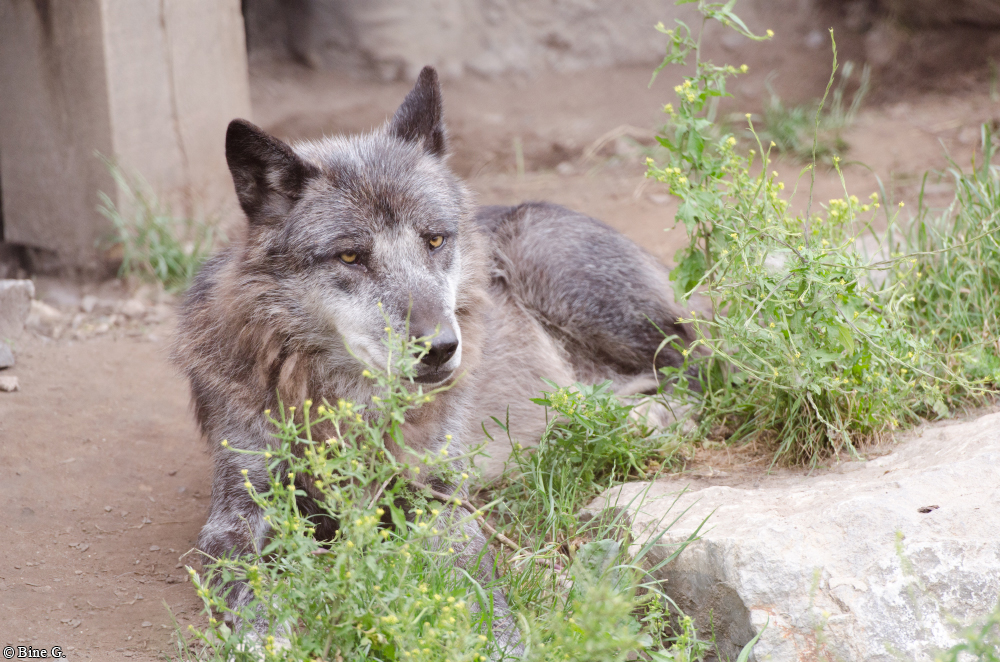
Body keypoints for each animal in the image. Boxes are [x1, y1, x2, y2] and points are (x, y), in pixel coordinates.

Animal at [172, 66, 698, 652]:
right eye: (350, 256)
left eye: (434, 240)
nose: (442, 348)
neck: (348, 405)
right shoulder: (239, 509)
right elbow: (250, 578)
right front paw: (265, 638)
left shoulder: (439, 498)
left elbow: (476, 583)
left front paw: (503, 643)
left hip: (572, 281)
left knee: (702, 368)